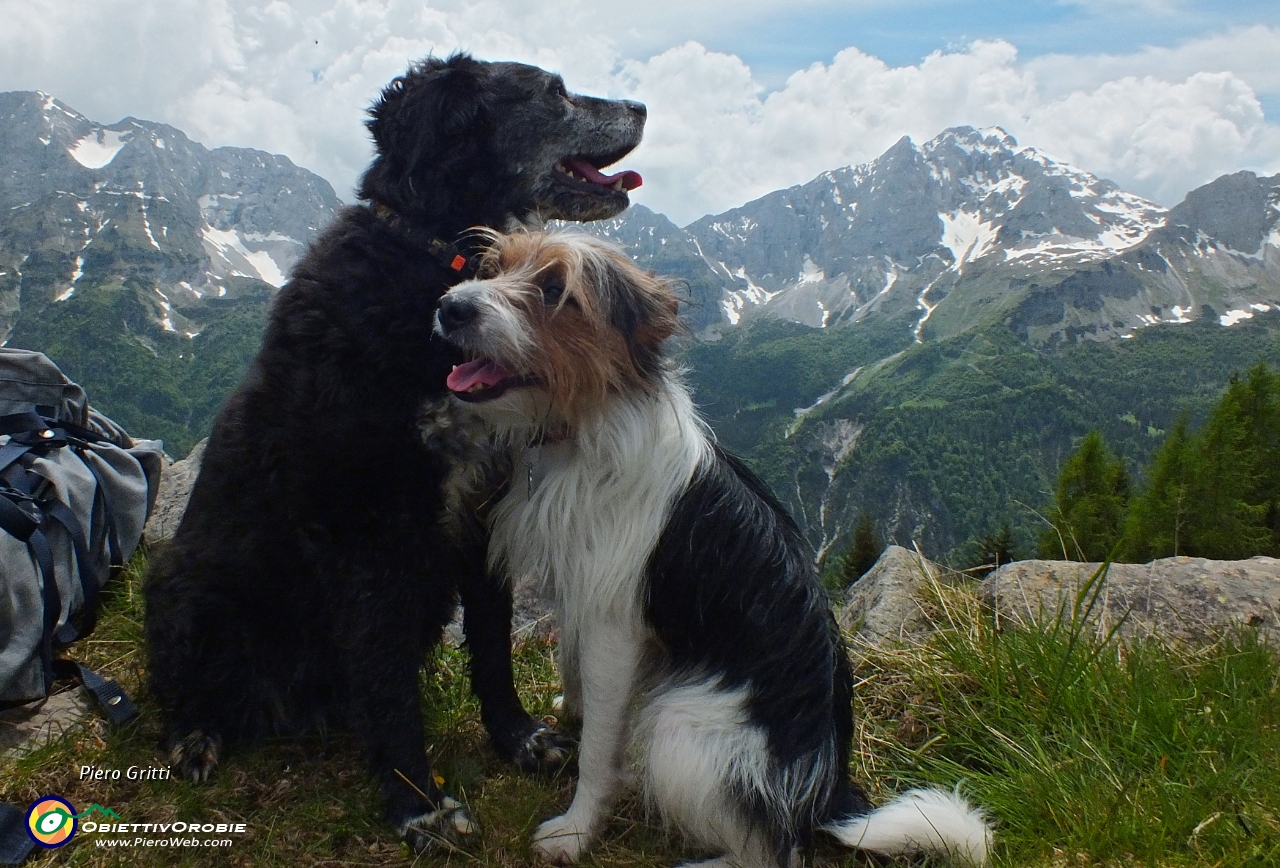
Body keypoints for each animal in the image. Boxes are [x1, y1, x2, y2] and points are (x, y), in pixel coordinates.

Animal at [145, 54, 645, 850]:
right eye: (553, 91)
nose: (643, 107)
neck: (438, 264)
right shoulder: (374, 531)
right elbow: (388, 685)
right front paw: (420, 805)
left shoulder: (483, 507)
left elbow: (491, 645)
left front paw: (518, 738)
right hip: (184, 579)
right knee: (187, 684)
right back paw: (196, 735)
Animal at [432, 233, 988, 868]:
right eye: (495, 267)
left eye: (555, 289)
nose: (450, 306)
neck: (583, 427)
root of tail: (826, 788)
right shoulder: (580, 587)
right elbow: (575, 672)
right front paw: (569, 707)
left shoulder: (614, 626)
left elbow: (599, 746)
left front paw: (576, 830)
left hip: (678, 723)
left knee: (770, 853)